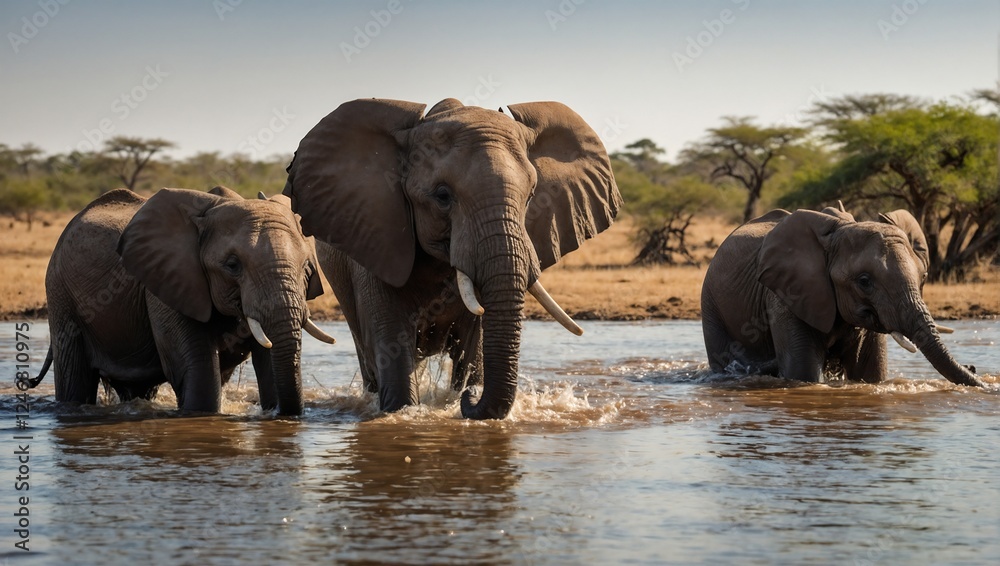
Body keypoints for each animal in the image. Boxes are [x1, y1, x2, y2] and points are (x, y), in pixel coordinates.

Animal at [28, 186, 337, 415]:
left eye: (307, 268)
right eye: (232, 265)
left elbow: (268, 363)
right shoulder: (165, 280)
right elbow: (197, 371)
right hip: (60, 293)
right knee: (75, 379)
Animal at [283, 98, 621, 419]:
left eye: (531, 194)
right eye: (442, 196)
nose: (469, 399)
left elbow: (475, 345)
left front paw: (466, 391)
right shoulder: (375, 236)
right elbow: (392, 344)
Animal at [701, 205, 984, 387]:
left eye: (923, 277)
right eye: (864, 281)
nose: (973, 366)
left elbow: (871, 374)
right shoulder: (785, 298)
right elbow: (803, 374)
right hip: (711, 303)